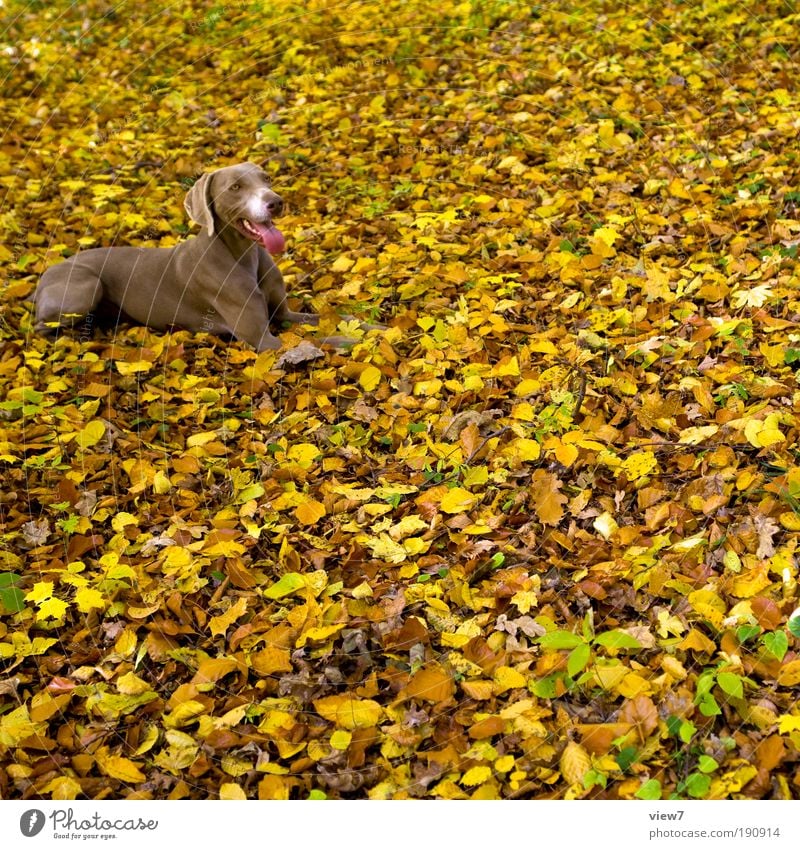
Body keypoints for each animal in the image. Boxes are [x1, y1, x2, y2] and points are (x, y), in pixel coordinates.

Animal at [32, 162, 318, 352]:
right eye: (236, 187)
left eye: (266, 178)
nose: (276, 202)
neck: (243, 256)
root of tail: (45, 276)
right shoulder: (264, 340)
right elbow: (319, 342)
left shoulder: (285, 314)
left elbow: (318, 320)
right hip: (87, 287)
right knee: (39, 326)